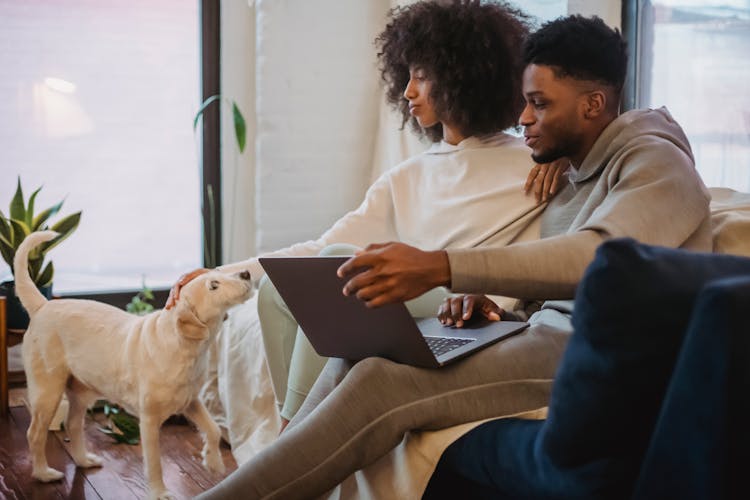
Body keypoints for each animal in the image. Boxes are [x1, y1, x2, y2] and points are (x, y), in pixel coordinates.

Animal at [14, 232, 254, 498]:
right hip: (48, 390)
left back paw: (84, 460)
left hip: (81, 392)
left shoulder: (190, 401)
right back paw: (43, 473)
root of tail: (43, 305)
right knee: (35, 433)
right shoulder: (148, 420)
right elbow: (155, 462)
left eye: (218, 273)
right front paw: (159, 492)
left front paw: (212, 462)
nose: (246, 273)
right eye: (213, 285)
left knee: (72, 424)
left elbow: (213, 429)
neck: (184, 346)